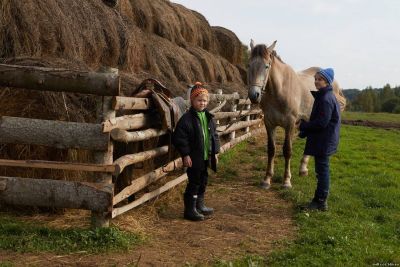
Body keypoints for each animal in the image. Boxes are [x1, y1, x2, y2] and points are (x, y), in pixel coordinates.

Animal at [245, 40, 346, 191]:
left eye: (266, 66)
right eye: (249, 65)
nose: (254, 95)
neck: (280, 90)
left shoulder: (290, 124)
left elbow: (287, 150)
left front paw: (286, 181)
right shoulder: (269, 124)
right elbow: (271, 150)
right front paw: (267, 179)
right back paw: (303, 169)